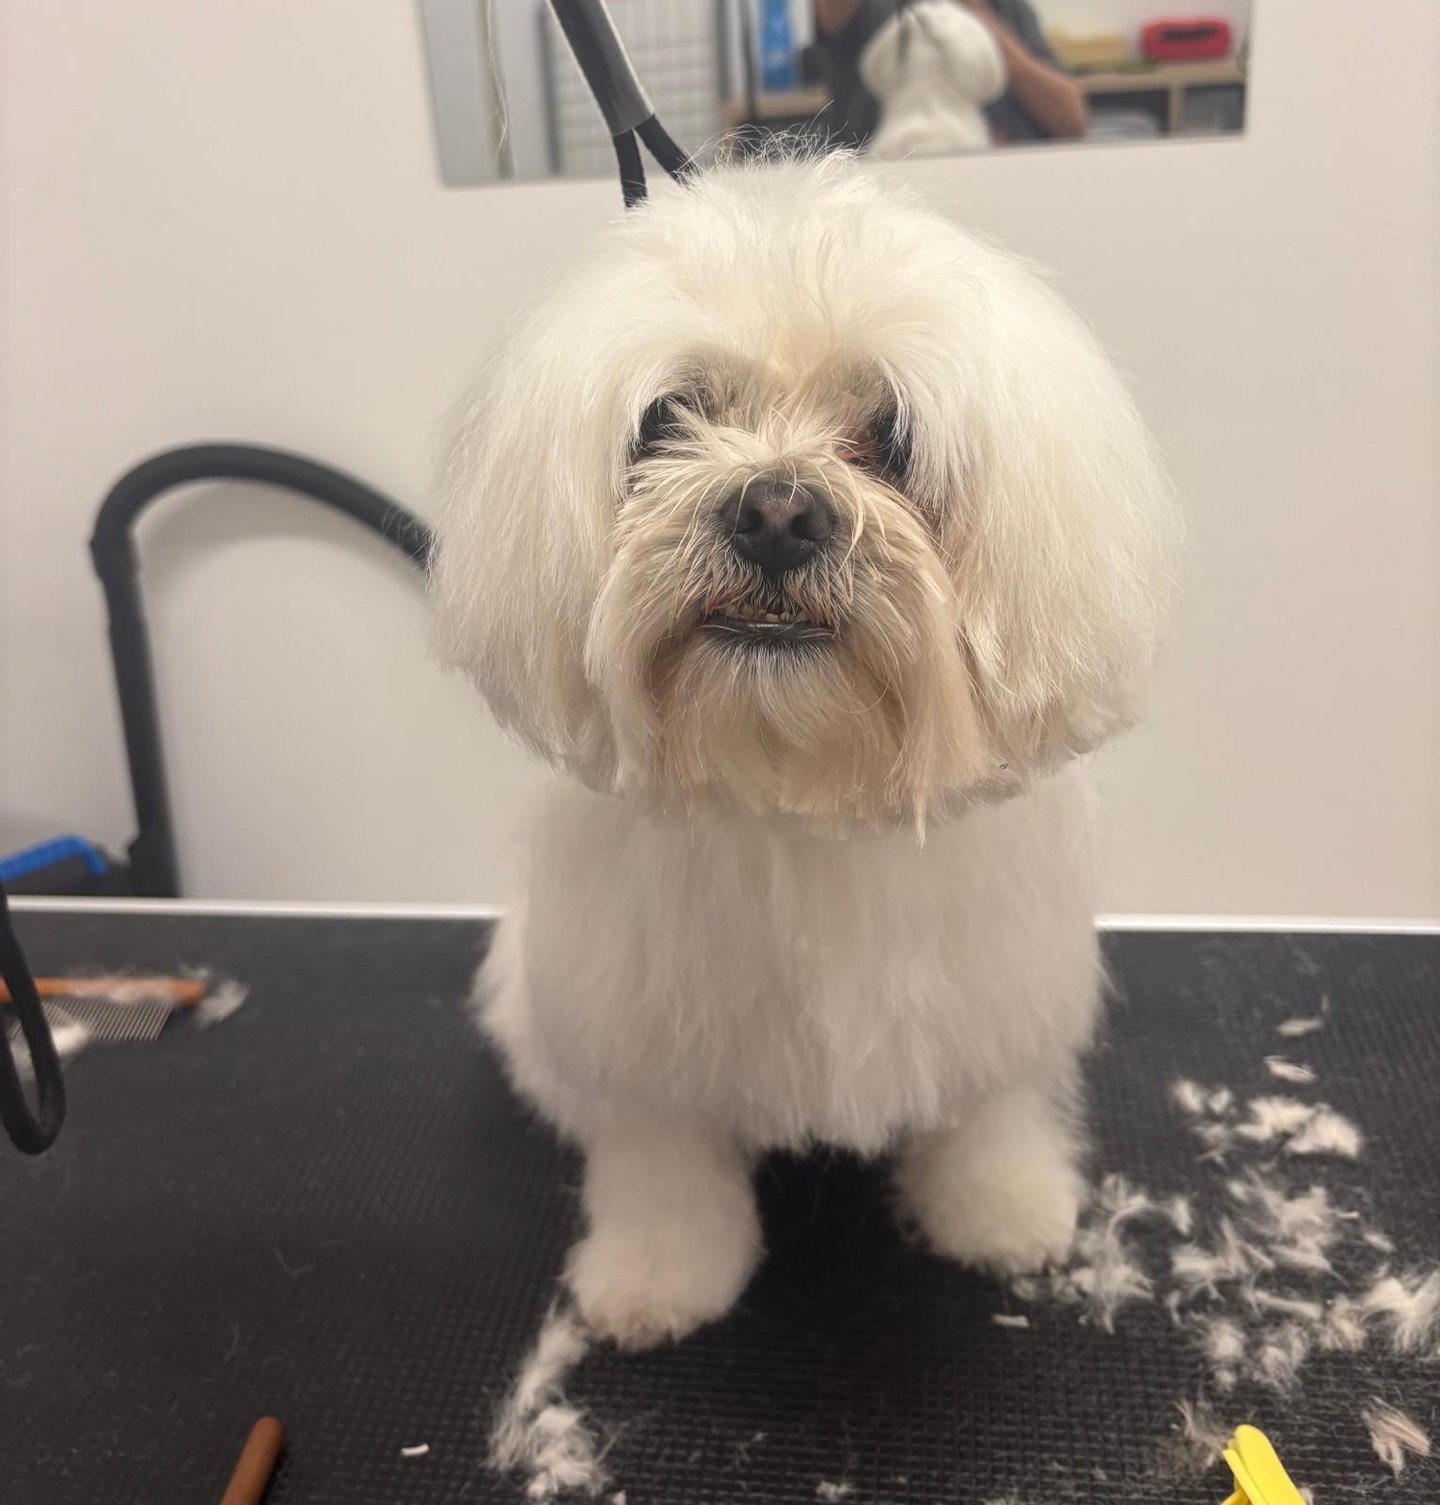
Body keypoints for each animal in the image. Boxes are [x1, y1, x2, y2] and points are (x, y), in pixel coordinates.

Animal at [432, 152, 1176, 1351]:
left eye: (895, 438)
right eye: (669, 417)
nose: (777, 507)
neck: (801, 792)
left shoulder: (991, 992)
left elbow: (985, 1114)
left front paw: (1003, 1210)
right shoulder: (641, 1042)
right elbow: (663, 1168)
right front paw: (657, 1276)